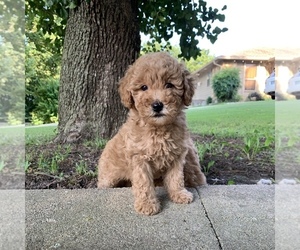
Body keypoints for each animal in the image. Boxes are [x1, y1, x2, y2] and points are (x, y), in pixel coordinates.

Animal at [98, 52, 206, 215]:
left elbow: (176, 178)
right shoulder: (139, 158)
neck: (158, 129)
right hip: (108, 179)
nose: (157, 105)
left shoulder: (177, 156)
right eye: (144, 87)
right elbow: (144, 183)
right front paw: (147, 204)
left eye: (169, 85)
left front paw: (179, 194)